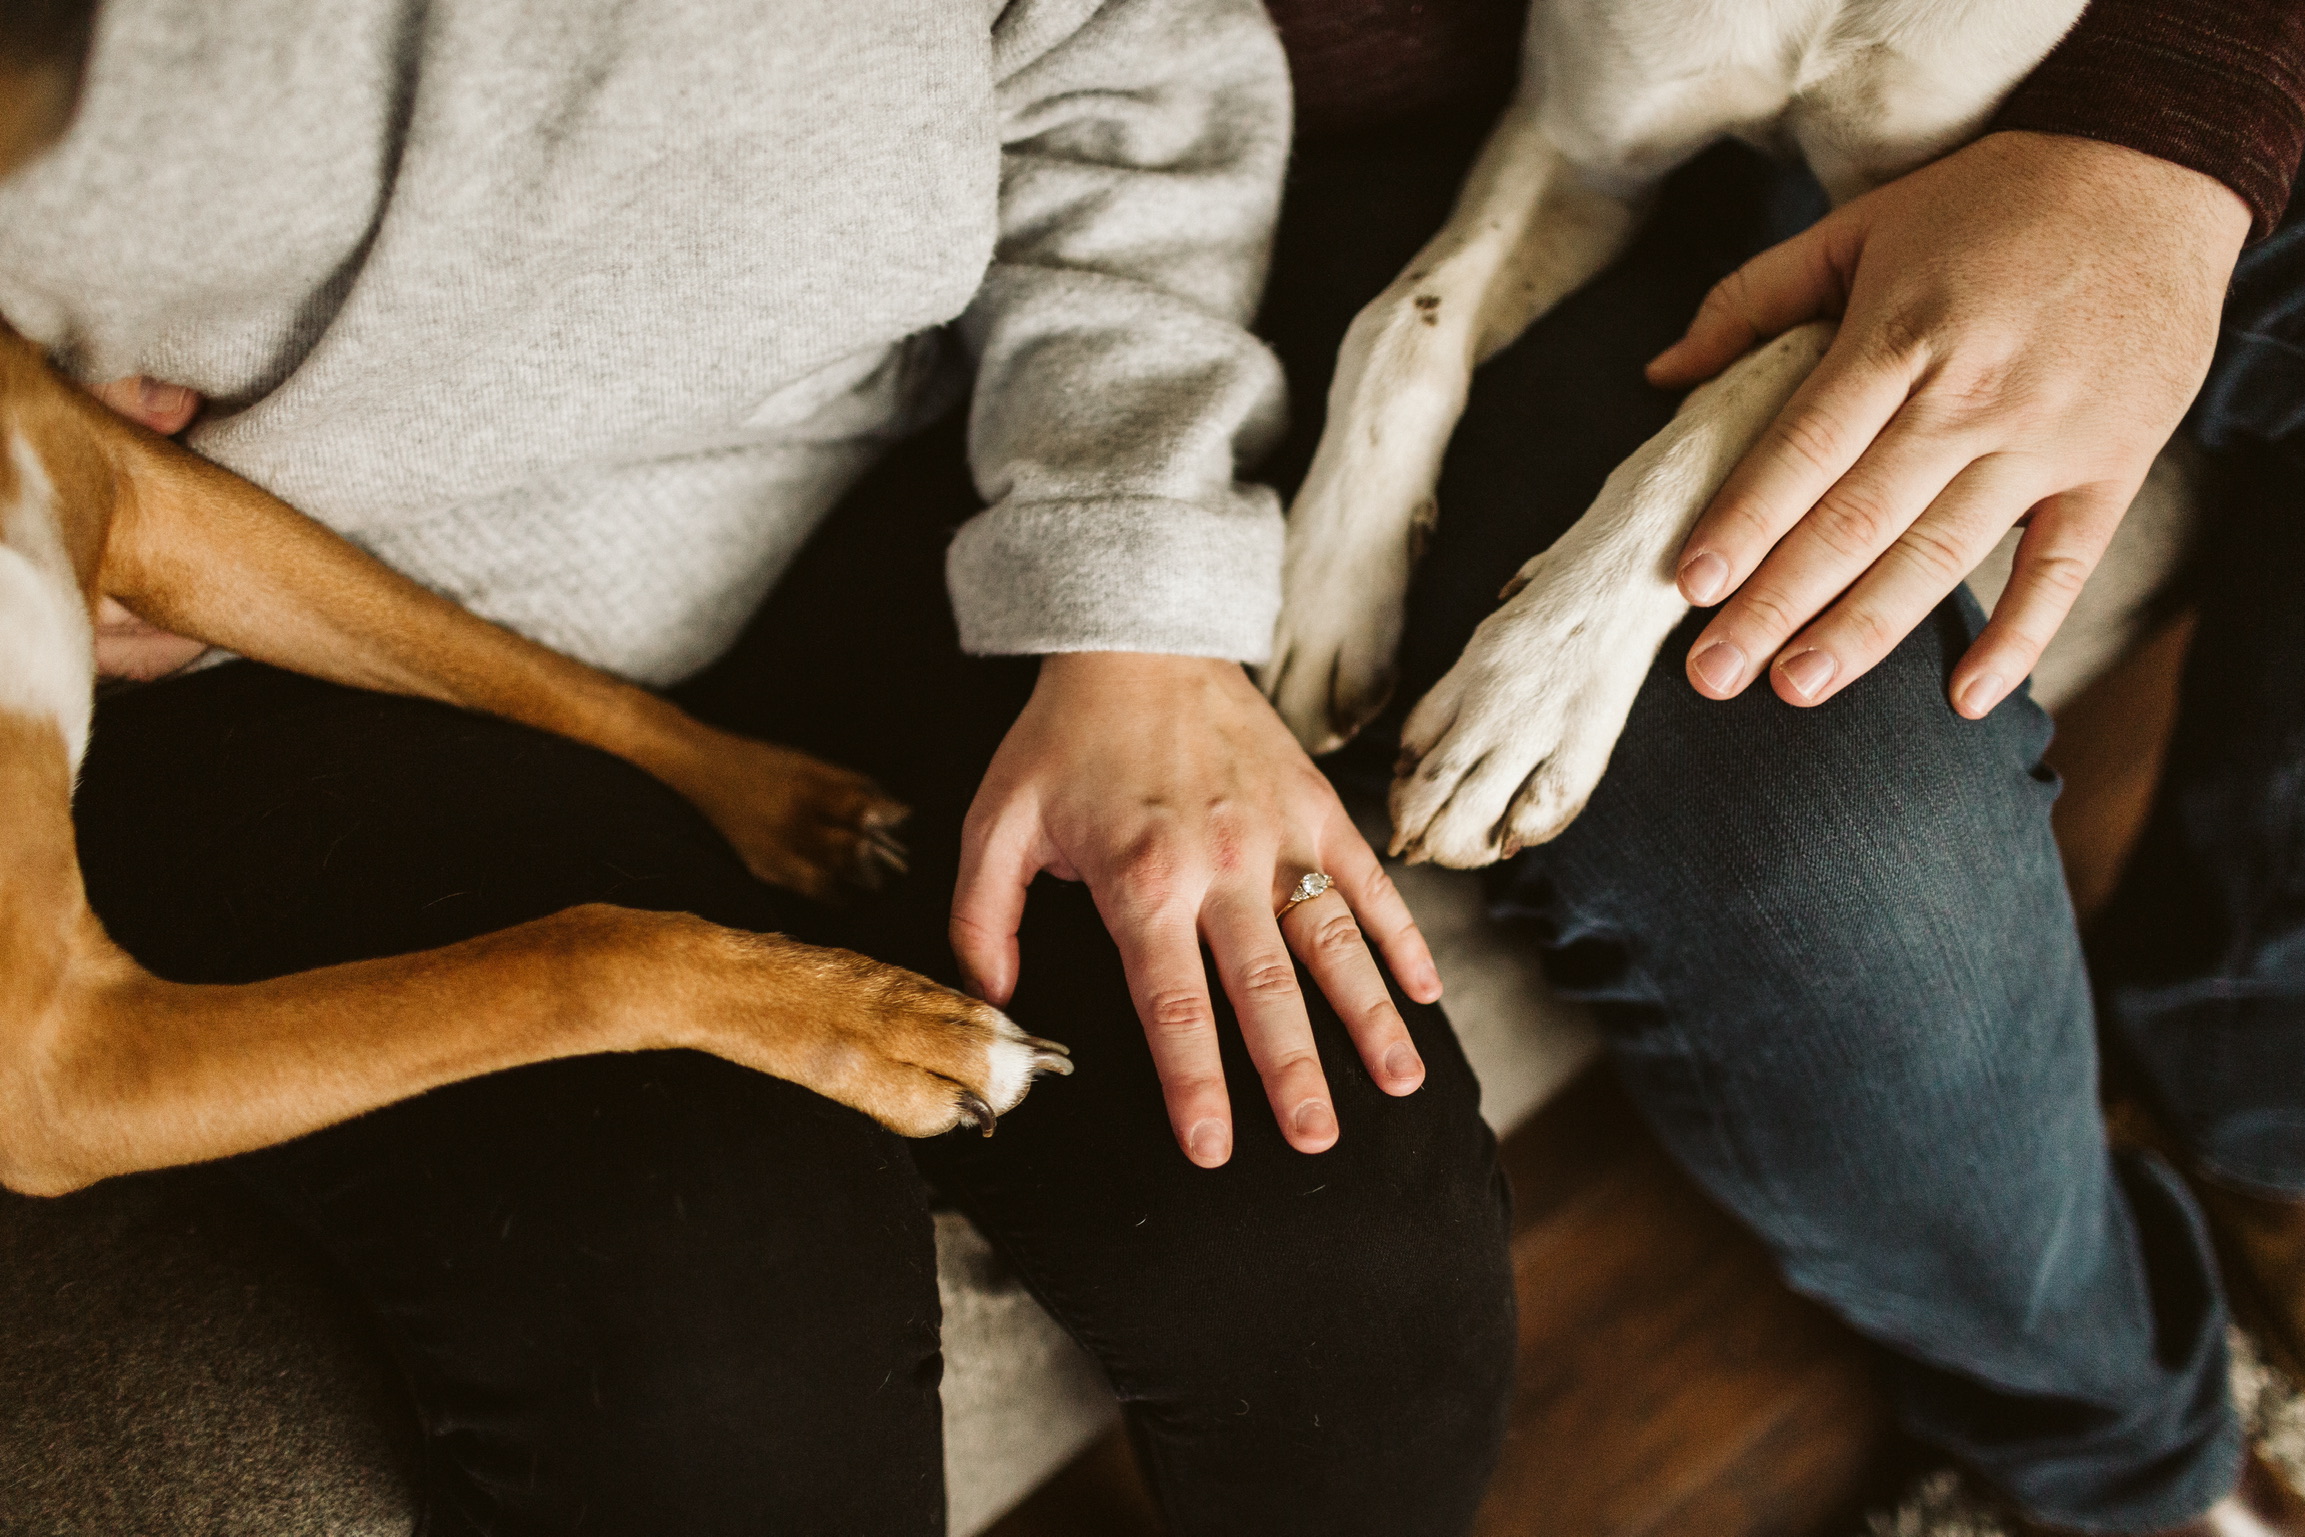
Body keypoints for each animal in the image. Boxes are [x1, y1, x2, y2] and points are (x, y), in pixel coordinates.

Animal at [0, 18, 1060, 1207]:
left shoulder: (157, 495)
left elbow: (550, 677)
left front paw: (783, 804)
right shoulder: (58, 1063)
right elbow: (581, 955)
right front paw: (875, 1024)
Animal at [1272, 0, 2185, 871]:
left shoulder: (1917, 244)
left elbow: (1729, 413)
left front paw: (1529, 694)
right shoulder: (1581, 148)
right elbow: (1406, 315)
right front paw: (1329, 587)